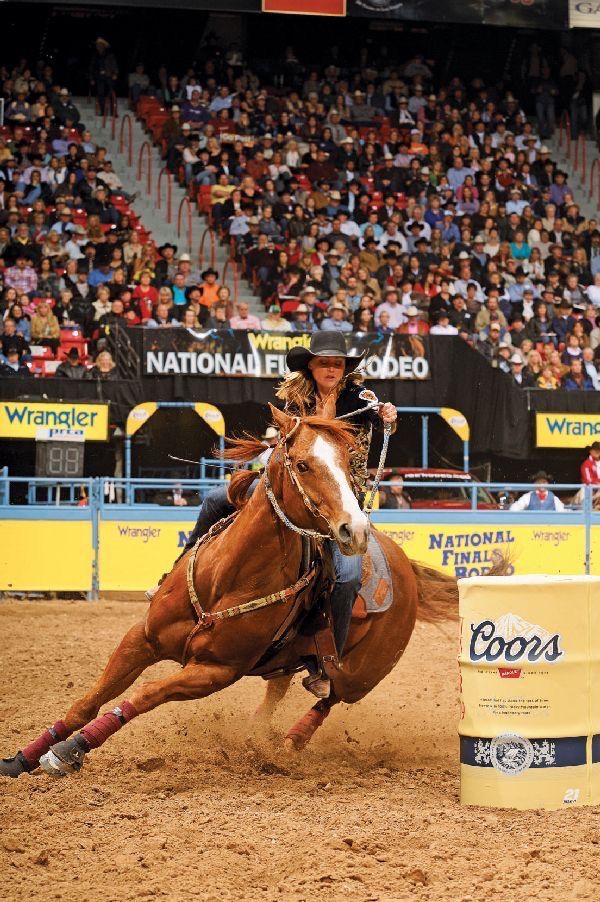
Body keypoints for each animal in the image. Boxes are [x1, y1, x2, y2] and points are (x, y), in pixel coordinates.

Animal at [1, 406, 454, 780]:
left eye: (349, 463)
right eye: (303, 464)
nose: (354, 530)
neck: (228, 578)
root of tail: (406, 566)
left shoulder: (215, 671)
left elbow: (144, 694)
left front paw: (70, 750)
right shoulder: (141, 638)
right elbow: (88, 700)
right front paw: (24, 756)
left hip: (362, 676)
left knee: (328, 700)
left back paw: (288, 744)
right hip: (290, 658)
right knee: (278, 692)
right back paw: (258, 739)